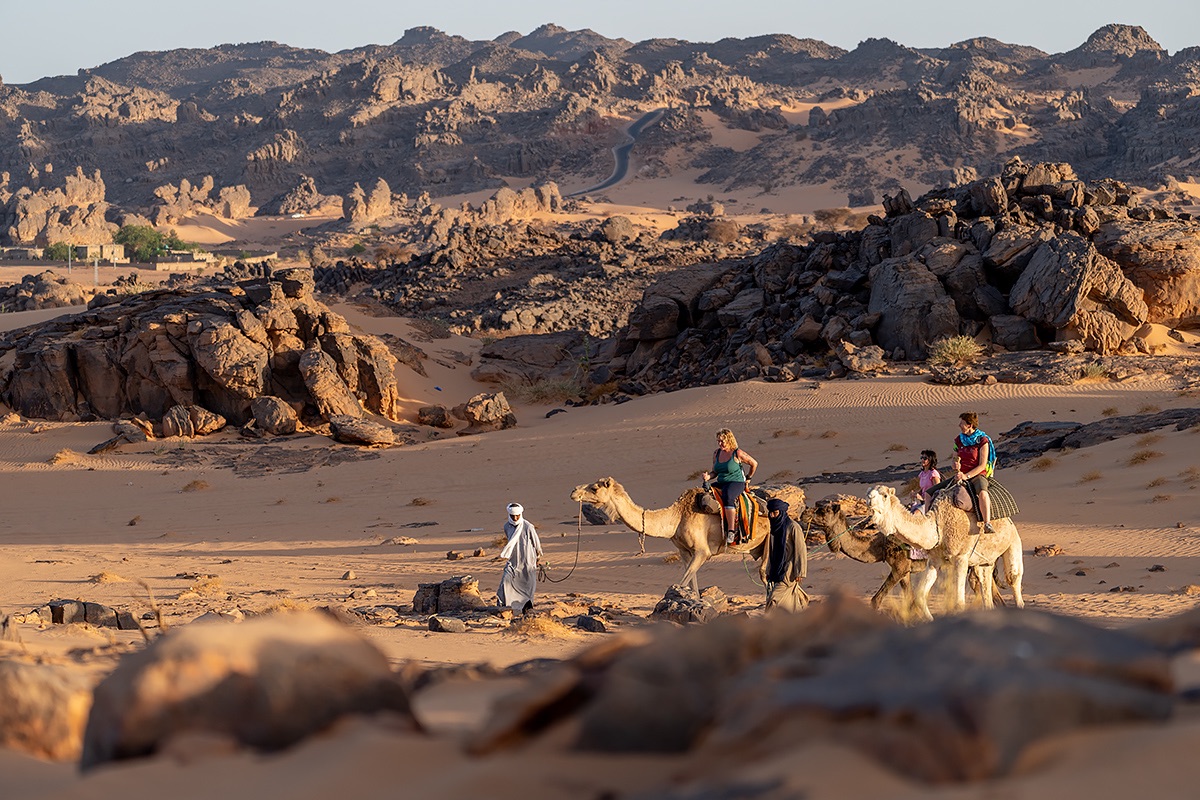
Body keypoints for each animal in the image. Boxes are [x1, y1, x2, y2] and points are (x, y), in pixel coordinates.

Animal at [570, 477, 769, 592]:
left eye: (595, 488)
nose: (573, 491)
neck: (677, 517)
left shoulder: (702, 551)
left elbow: (681, 583)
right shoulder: (685, 551)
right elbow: (692, 585)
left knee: (765, 574)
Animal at [867, 485, 1024, 614]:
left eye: (885, 495)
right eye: (868, 492)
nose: (869, 500)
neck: (939, 525)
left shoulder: (961, 558)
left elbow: (959, 603)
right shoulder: (934, 561)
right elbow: (920, 597)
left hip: (1013, 541)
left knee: (1013, 578)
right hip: (985, 561)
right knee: (985, 581)